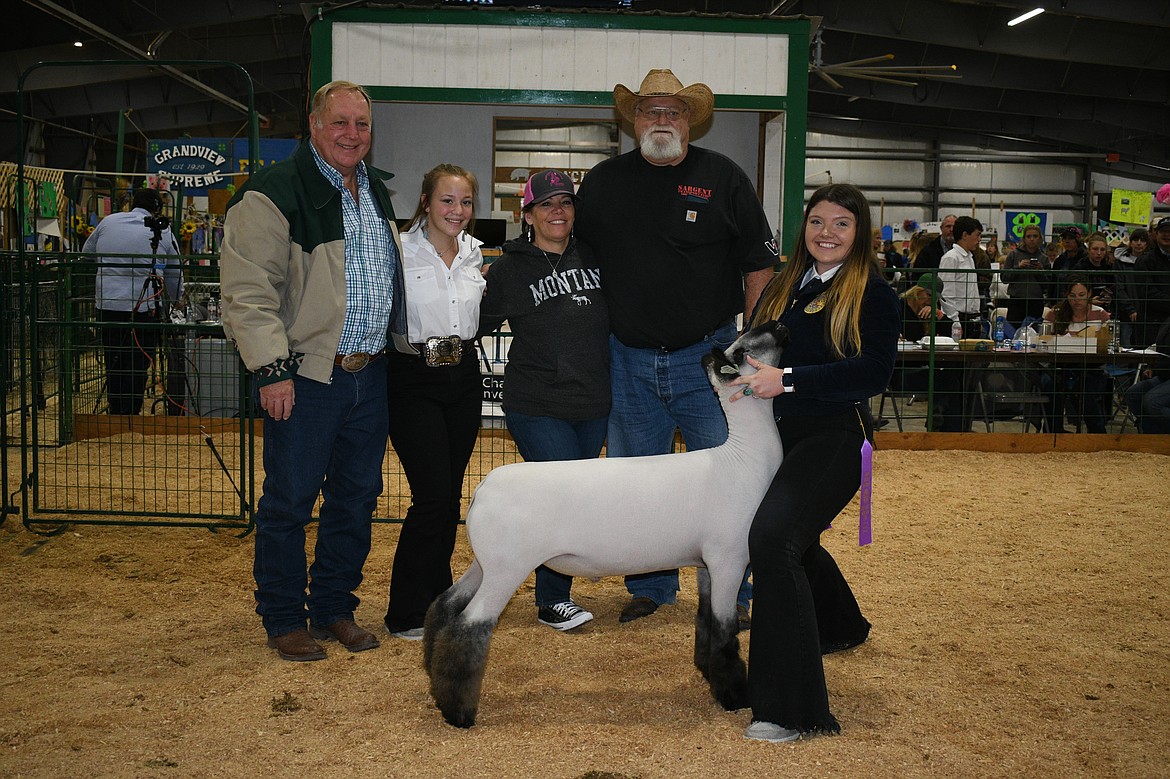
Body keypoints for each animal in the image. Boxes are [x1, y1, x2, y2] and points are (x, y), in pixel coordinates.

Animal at [421, 318, 786, 725]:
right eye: (743, 350)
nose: (778, 323)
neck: (742, 460)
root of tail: (483, 486)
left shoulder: (706, 564)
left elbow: (706, 623)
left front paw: (707, 674)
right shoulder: (728, 559)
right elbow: (723, 632)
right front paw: (735, 695)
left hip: (486, 562)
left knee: (446, 606)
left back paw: (432, 675)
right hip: (507, 568)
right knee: (469, 625)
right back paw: (458, 712)